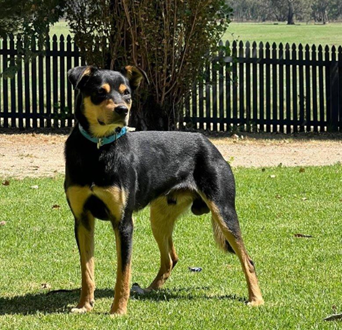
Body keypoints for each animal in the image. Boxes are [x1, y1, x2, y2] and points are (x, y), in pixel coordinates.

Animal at [65, 65, 264, 316]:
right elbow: (87, 270)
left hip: (224, 212)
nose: (122, 110)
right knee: (170, 258)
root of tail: (209, 144)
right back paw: (149, 289)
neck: (97, 149)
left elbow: (123, 273)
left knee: (248, 260)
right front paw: (84, 305)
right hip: (159, 217)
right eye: (100, 92)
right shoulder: (82, 220)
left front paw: (118, 310)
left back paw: (256, 299)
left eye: (127, 93)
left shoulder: (123, 223)